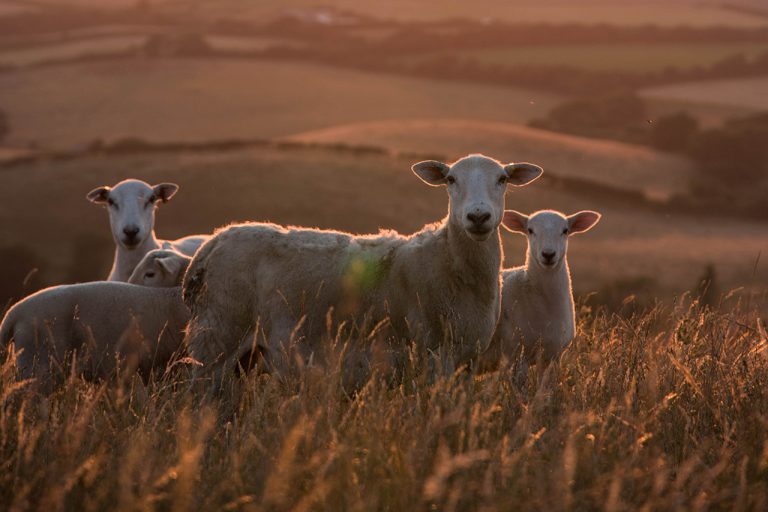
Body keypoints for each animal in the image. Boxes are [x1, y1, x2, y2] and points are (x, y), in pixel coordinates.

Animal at [182, 154, 543, 383]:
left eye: (503, 179)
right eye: (451, 179)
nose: (478, 216)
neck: (451, 262)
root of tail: (212, 242)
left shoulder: (466, 362)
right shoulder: (429, 355)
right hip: (216, 339)